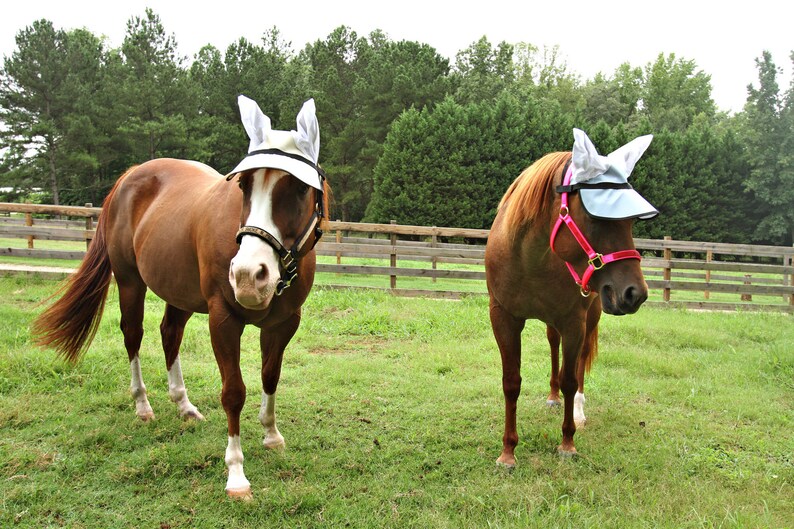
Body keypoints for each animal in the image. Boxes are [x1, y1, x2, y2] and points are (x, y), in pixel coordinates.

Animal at [32, 96, 330, 499]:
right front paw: (236, 474)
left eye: (299, 189)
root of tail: (131, 174)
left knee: (169, 333)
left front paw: (271, 436)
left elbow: (270, 377)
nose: (247, 276)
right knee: (133, 335)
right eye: (244, 185)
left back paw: (183, 404)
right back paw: (143, 405)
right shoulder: (223, 320)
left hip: (179, 293)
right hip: (130, 283)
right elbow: (233, 392)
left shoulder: (284, 324)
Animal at [485, 129, 657, 467]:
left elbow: (570, 379)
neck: (530, 258)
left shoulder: (574, 322)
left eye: (631, 222)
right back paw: (552, 397)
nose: (636, 294)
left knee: (577, 368)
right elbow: (511, 382)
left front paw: (567, 442)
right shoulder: (504, 318)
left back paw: (577, 411)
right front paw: (508, 452)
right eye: (598, 220)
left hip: (589, 318)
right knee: (553, 345)